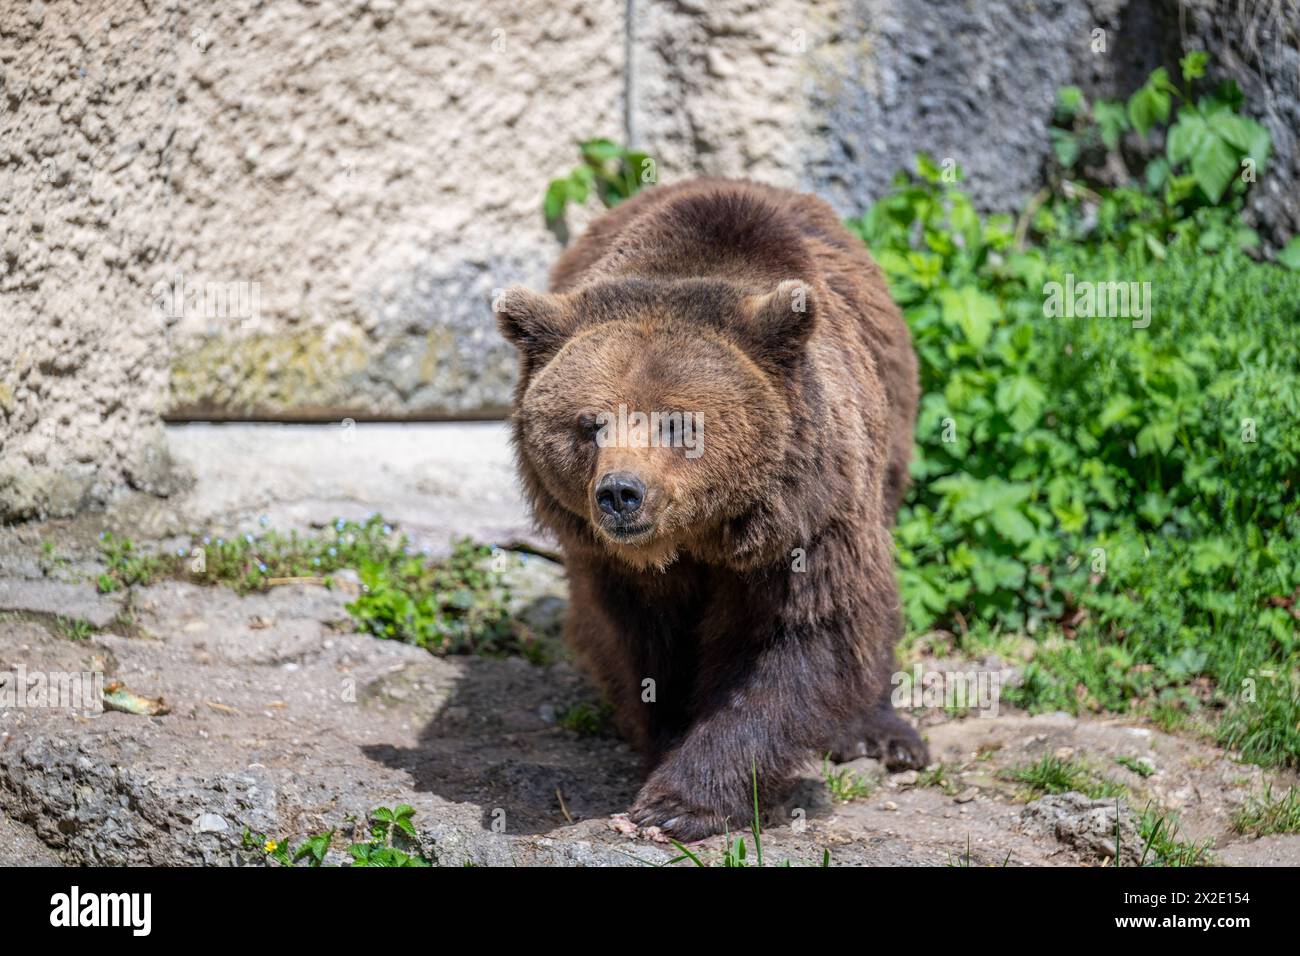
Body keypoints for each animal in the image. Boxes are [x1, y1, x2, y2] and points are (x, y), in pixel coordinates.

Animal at [496, 177, 927, 840]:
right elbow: (644, 646)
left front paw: (681, 801)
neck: (701, 536)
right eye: (590, 422)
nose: (620, 493)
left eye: (678, 423)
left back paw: (884, 734)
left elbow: (802, 639)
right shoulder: (614, 567)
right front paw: (666, 742)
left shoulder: (807, 523)